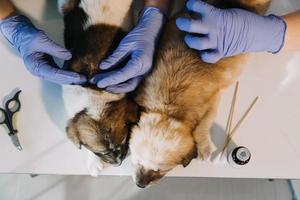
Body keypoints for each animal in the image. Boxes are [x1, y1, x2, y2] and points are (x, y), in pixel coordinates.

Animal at [130, 0, 270, 188]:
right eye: (137, 161)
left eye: (160, 171)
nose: (140, 185)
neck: (169, 108)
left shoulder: (213, 100)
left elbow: (202, 126)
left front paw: (203, 147)